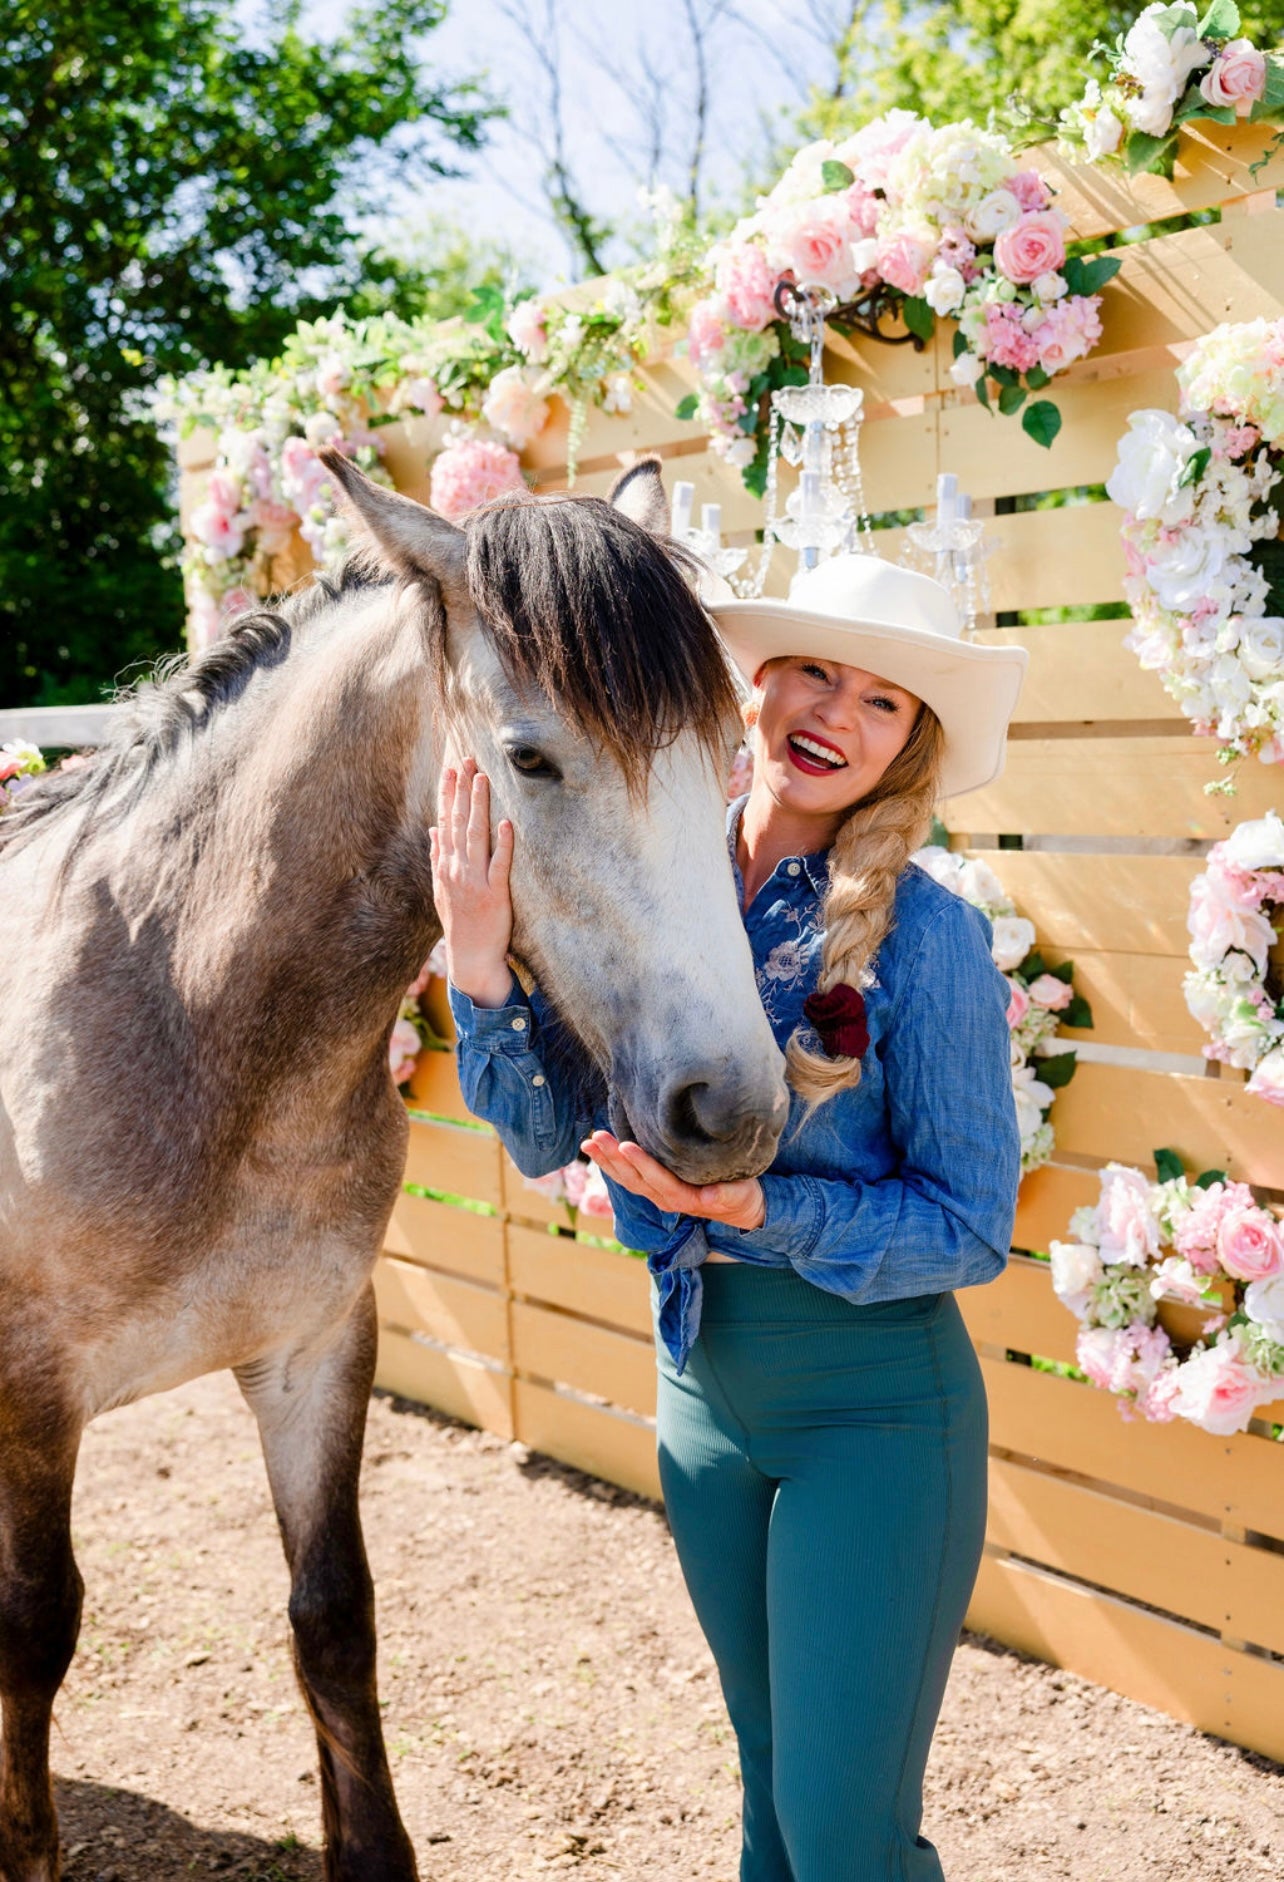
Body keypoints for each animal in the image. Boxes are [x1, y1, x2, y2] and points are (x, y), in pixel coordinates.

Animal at [0, 459, 786, 1882]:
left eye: (723, 753)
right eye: (529, 757)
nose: (734, 1105)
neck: (185, 1011)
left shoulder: (314, 1352)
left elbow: (335, 1616)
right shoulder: (35, 1391)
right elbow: (34, 1632)